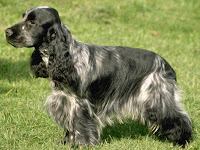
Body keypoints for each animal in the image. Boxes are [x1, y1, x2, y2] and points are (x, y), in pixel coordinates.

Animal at [5, 6, 191, 148]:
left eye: (32, 22)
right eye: (23, 17)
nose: (6, 31)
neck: (69, 57)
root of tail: (166, 64)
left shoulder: (80, 103)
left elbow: (81, 126)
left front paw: (81, 145)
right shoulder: (65, 101)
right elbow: (70, 126)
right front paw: (66, 143)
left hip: (156, 98)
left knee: (179, 118)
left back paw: (183, 142)